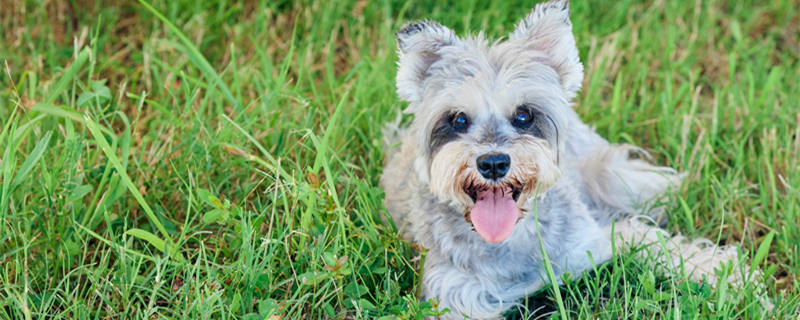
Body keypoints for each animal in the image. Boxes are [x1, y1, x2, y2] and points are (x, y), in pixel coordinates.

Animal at [382, 0, 752, 318]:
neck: (512, 240)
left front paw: (729, 275)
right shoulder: (455, 300)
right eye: (458, 119)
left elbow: (661, 245)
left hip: (614, 178)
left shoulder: (600, 238)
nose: (493, 164)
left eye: (524, 115)